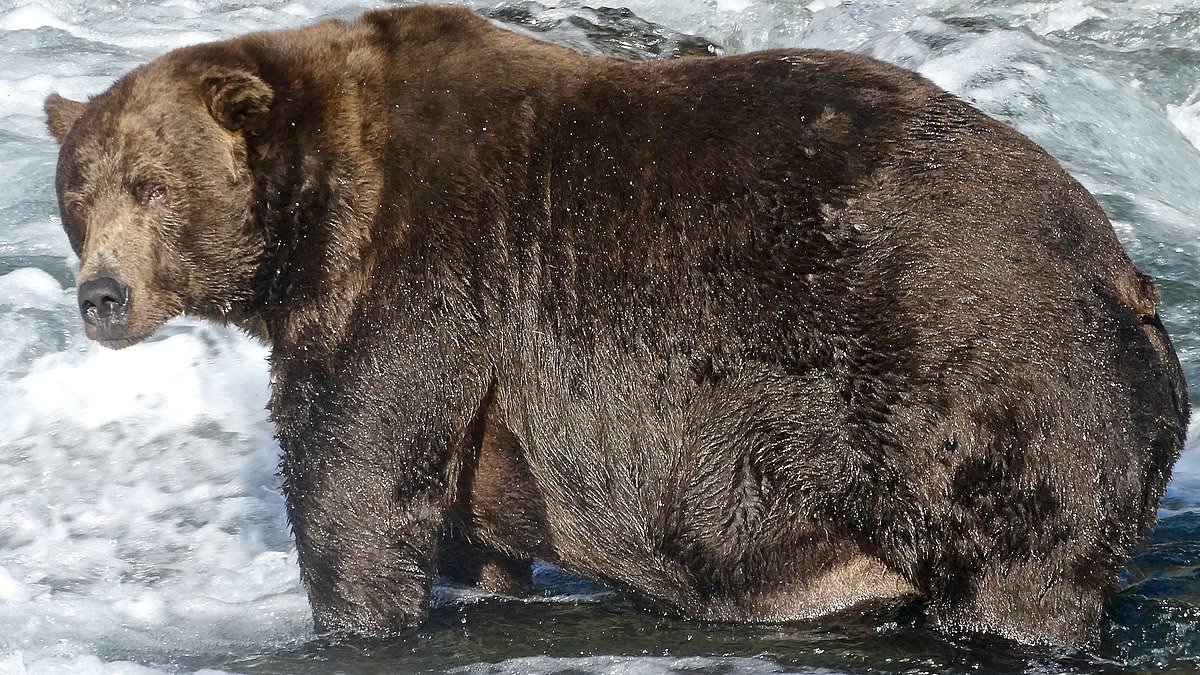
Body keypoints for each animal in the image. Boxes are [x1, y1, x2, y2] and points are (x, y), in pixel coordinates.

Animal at [44, 3, 1188, 648]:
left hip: (989, 398)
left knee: (1018, 575)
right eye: (77, 192)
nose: (101, 296)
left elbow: (358, 480)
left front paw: (348, 617)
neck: (317, 221)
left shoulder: (423, 275)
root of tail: (1126, 273)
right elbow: (461, 527)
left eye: (152, 185)